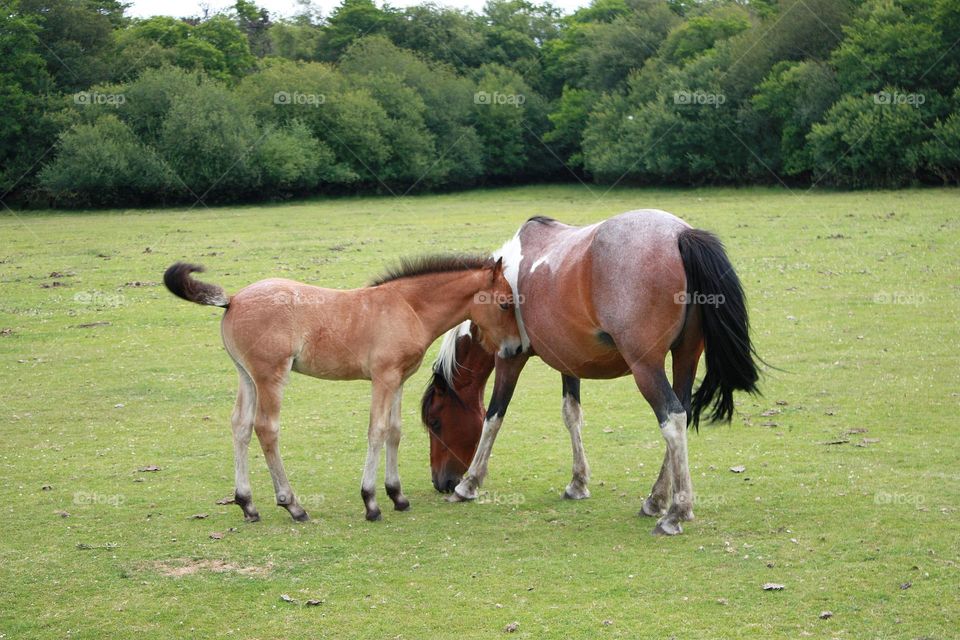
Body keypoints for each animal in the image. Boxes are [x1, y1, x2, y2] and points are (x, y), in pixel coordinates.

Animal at [167, 258, 524, 524]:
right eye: (506, 304)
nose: (516, 347)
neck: (408, 307)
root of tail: (233, 299)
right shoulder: (383, 378)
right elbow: (377, 431)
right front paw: (371, 502)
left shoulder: (398, 380)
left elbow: (394, 431)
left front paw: (397, 495)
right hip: (270, 376)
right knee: (265, 429)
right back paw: (292, 505)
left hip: (246, 377)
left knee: (240, 426)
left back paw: (247, 504)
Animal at [424, 210, 760, 536]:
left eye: (435, 421)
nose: (442, 483)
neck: (504, 282)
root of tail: (680, 234)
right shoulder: (569, 362)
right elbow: (571, 415)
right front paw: (578, 483)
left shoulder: (510, 357)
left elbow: (494, 417)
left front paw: (469, 484)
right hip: (686, 357)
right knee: (683, 414)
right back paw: (656, 500)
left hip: (646, 367)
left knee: (672, 419)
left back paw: (676, 512)